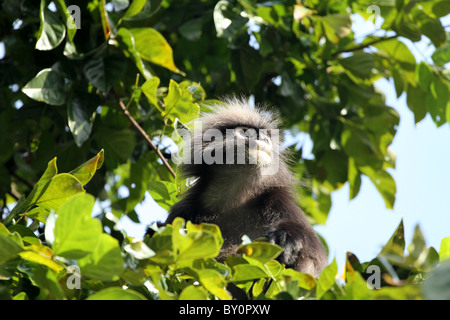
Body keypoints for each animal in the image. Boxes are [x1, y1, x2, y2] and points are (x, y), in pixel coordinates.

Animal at [151, 98, 326, 278]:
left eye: (266, 136)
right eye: (245, 131)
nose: (265, 139)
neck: (236, 197)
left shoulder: (278, 199)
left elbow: (316, 256)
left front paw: (285, 237)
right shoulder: (184, 209)